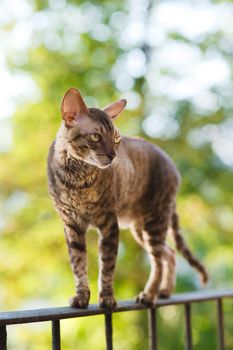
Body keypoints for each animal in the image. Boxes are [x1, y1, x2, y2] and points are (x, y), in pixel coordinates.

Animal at [46, 87, 208, 308]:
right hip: (141, 228)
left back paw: (149, 295)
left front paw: (106, 298)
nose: (113, 155)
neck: (77, 179)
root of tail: (173, 166)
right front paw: (81, 296)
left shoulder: (109, 224)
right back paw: (165, 291)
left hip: (155, 221)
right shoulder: (71, 225)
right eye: (95, 137)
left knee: (158, 260)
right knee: (169, 253)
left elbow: (107, 266)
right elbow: (78, 265)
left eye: (116, 139)